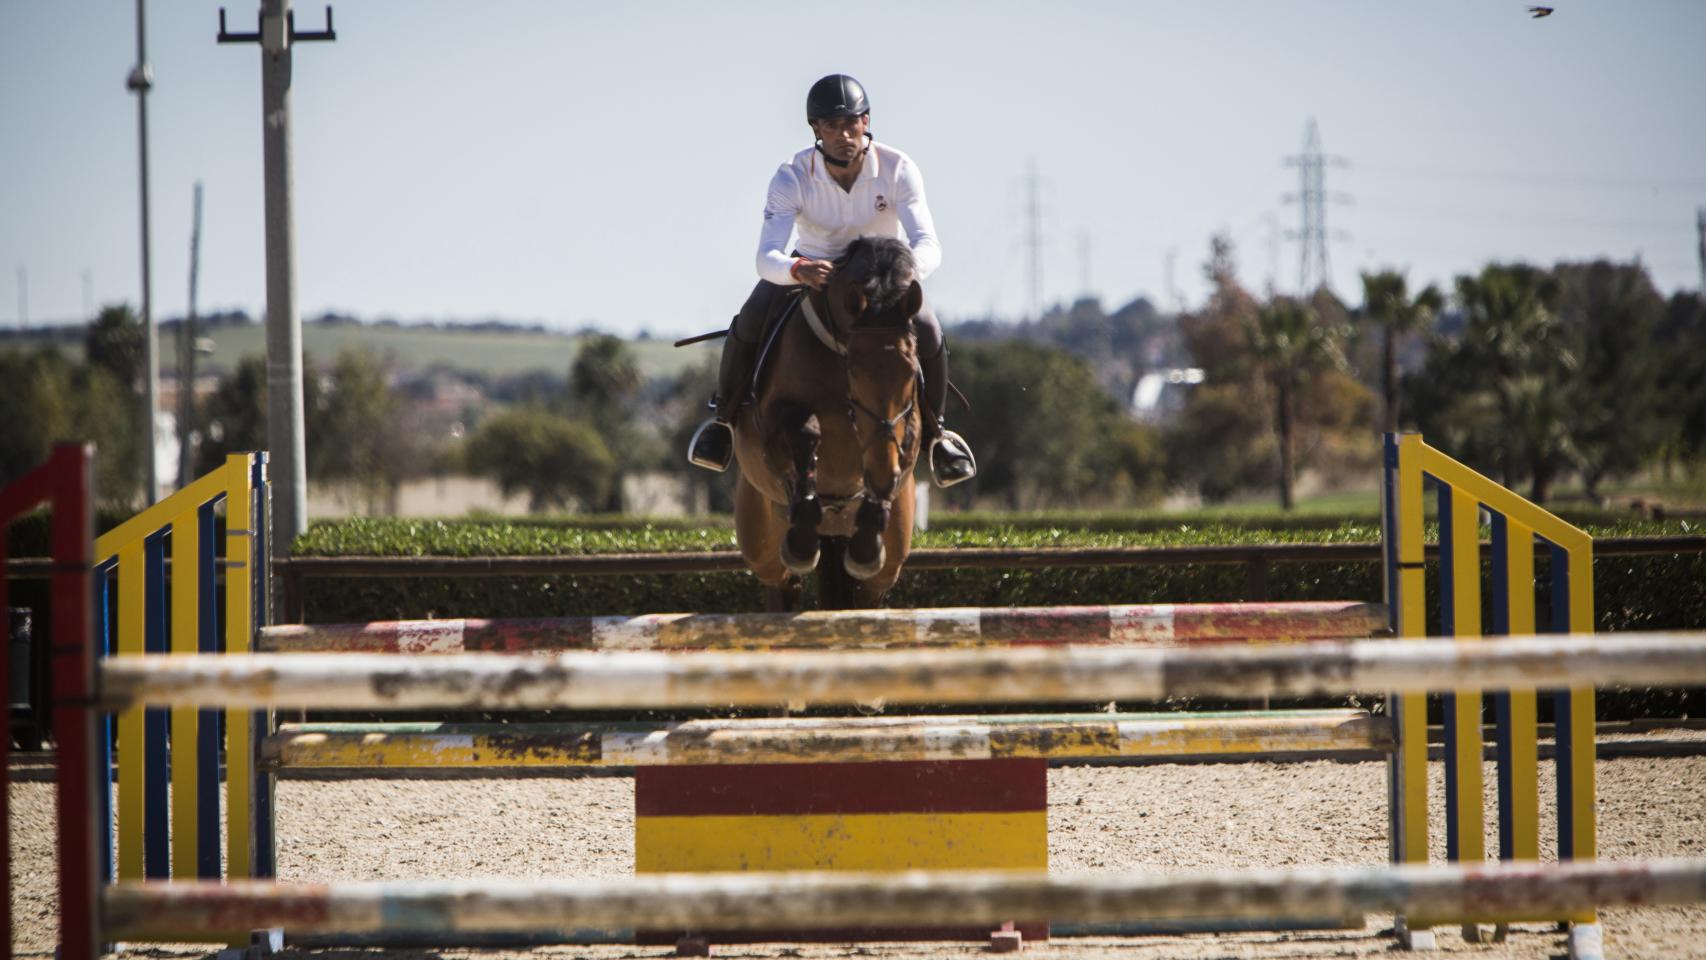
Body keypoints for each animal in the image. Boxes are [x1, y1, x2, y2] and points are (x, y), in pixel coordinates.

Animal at [732, 236, 923, 611]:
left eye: (910, 370)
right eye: (854, 369)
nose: (882, 474)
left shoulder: (907, 431)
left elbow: (902, 446)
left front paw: (869, 528)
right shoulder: (772, 426)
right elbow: (806, 432)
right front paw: (803, 538)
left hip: (890, 556)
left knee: (867, 591)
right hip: (761, 539)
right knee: (781, 583)